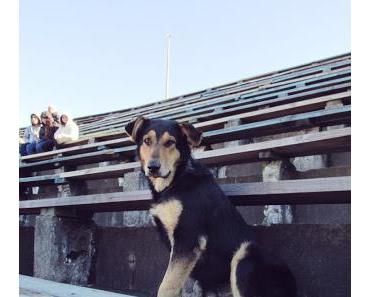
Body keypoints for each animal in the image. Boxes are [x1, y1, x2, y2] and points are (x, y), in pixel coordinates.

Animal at [125, 117, 296, 296]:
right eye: (147, 141)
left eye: (170, 142)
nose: (153, 167)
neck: (176, 180)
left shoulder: (188, 239)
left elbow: (166, 285)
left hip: (244, 254)